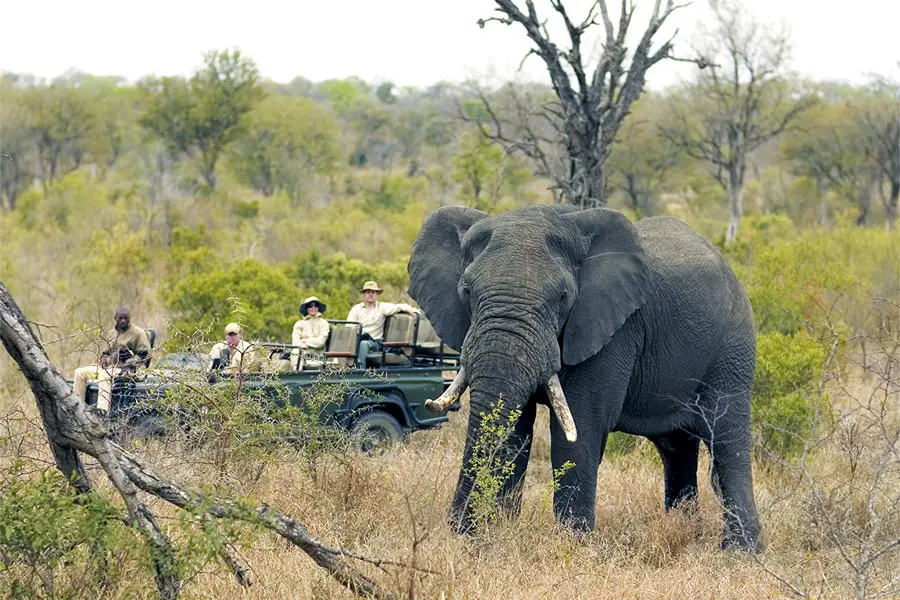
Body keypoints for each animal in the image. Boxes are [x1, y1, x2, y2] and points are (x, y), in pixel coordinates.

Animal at [412, 204, 764, 552]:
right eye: (466, 291)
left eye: (563, 297)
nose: (458, 530)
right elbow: (514, 430)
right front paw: (498, 532)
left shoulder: (612, 330)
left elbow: (581, 426)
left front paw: (572, 546)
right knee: (677, 449)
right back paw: (687, 531)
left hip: (732, 350)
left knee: (727, 442)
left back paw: (740, 552)